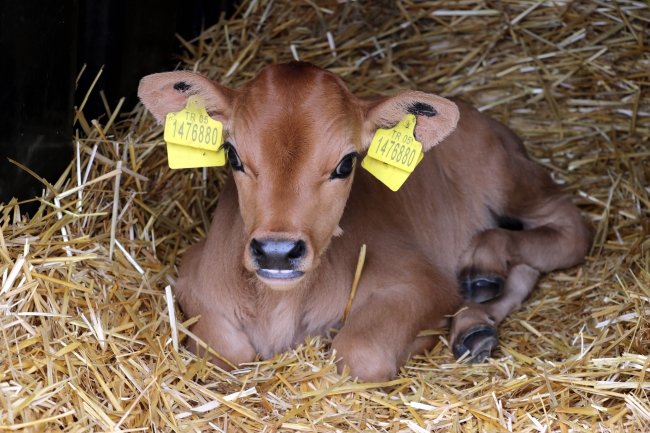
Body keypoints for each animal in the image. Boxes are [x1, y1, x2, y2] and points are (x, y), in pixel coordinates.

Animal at [138, 61, 592, 382]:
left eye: (346, 163)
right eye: (232, 155)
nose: (277, 252)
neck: (280, 305)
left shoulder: (421, 282)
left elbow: (359, 352)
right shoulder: (191, 273)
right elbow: (228, 353)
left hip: (503, 175)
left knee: (570, 229)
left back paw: (482, 270)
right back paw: (474, 326)